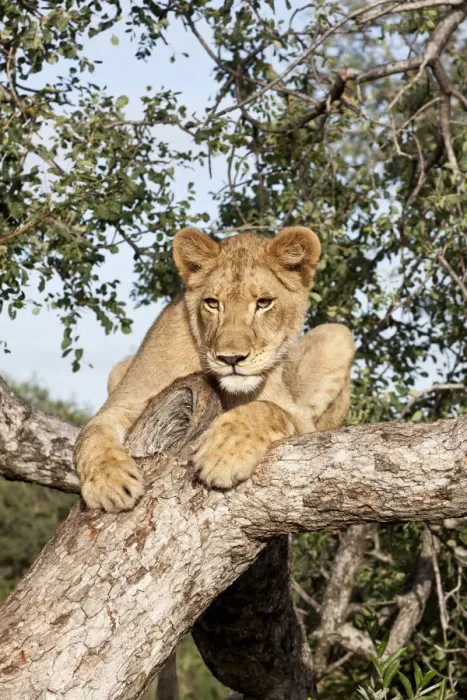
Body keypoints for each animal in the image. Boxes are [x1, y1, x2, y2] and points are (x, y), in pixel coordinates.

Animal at [74, 226, 355, 512]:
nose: (231, 358)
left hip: (338, 334)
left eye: (263, 303)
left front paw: (224, 453)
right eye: (212, 303)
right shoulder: (126, 402)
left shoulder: (302, 423)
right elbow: (90, 434)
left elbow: (268, 409)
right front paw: (109, 481)